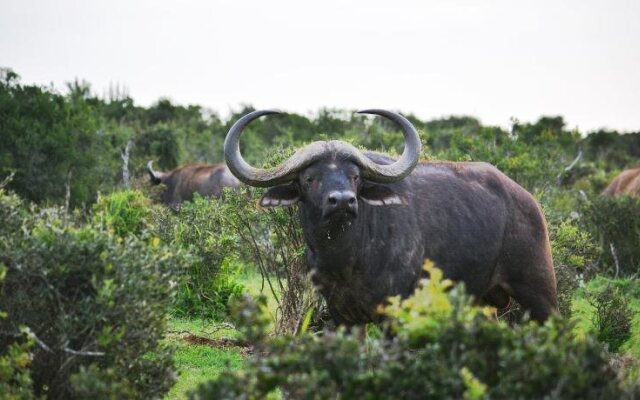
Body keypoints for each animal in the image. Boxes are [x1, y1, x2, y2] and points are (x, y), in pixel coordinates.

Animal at [224, 111, 556, 324]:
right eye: (309, 178)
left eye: (355, 176)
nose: (342, 201)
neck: (346, 257)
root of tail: (528, 202)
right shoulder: (341, 316)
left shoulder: (393, 314)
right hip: (484, 302)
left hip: (539, 291)